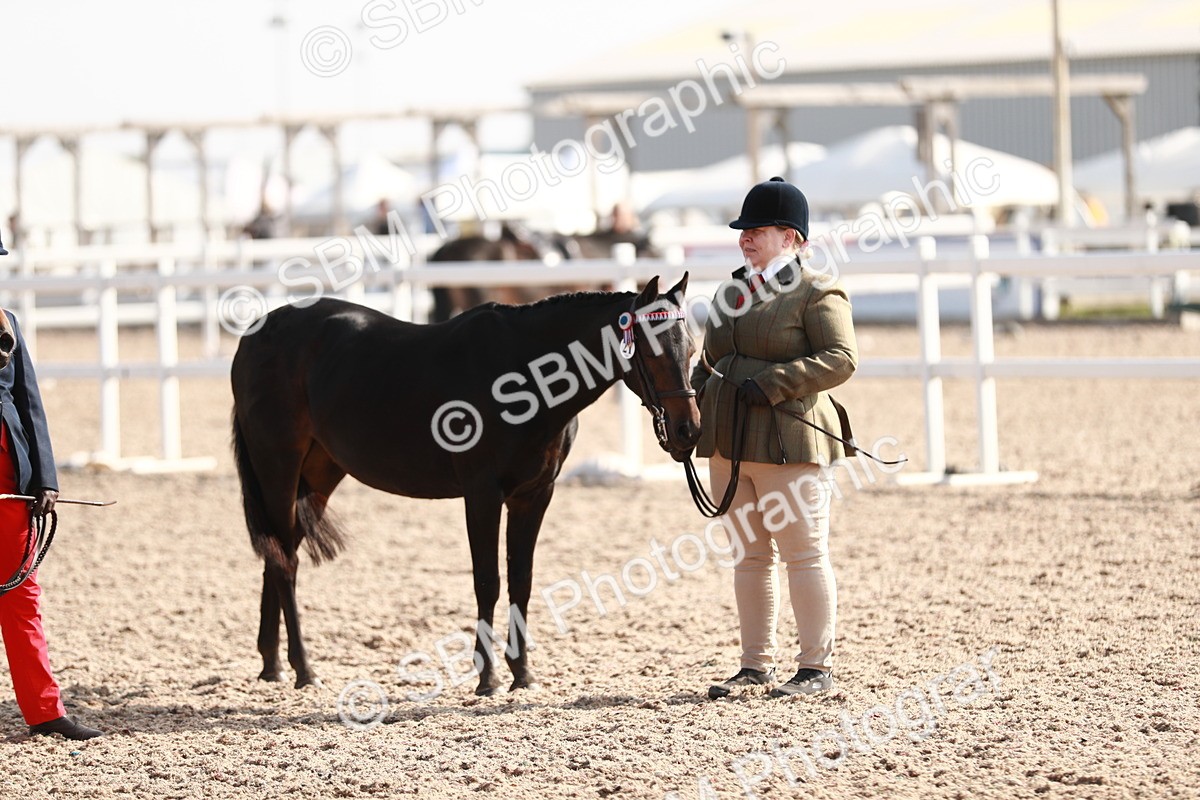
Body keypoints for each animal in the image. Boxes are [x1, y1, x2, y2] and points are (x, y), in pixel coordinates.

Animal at [230, 274, 700, 695]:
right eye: (653, 350)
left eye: (693, 348)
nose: (687, 431)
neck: (524, 375)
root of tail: (256, 334)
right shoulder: (482, 494)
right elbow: (487, 580)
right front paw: (487, 678)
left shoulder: (535, 495)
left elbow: (521, 580)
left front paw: (522, 674)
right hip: (278, 465)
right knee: (285, 562)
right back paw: (303, 669)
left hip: (319, 472)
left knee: (279, 551)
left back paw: (272, 665)